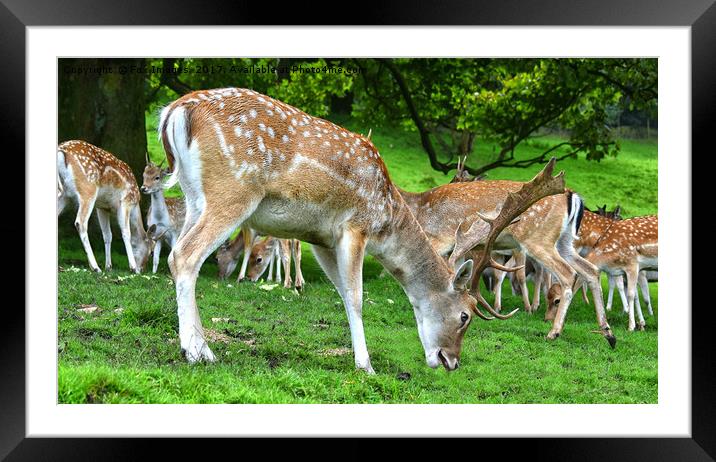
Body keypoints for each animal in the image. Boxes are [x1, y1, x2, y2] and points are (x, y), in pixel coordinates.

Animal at [57, 139, 155, 272]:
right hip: (87, 189)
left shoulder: (102, 207)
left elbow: (107, 235)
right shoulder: (126, 201)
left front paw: (108, 266)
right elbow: (126, 232)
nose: (142, 269)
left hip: (64, 194)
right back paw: (95, 267)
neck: (136, 204)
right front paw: (133, 267)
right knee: (80, 222)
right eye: (151, 252)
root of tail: (61, 151)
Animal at [158, 88, 560, 372]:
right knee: (185, 255)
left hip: (196, 197)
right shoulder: (355, 226)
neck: (388, 217)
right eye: (464, 316)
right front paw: (365, 365)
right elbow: (356, 297)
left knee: (182, 251)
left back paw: (201, 345)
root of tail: (174, 112)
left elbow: (340, 293)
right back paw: (196, 351)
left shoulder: (320, 237)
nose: (451, 361)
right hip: (233, 192)